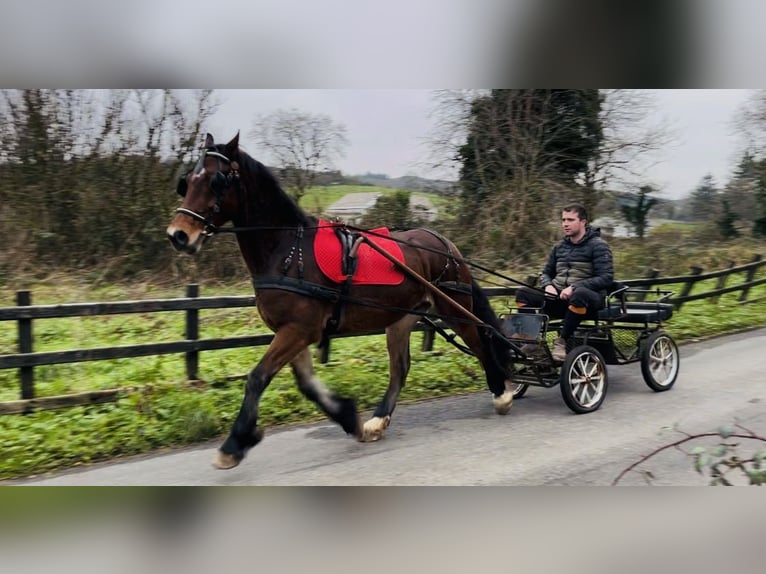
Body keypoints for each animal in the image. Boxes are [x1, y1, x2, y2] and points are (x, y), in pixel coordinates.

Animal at [167, 133, 516, 470]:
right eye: (187, 181)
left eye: (216, 180)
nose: (178, 235)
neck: (288, 251)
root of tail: (444, 243)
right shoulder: (294, 331)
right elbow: (306, 384)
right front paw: (350, 418)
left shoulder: (299, 330)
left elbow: (257, 378)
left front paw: (234, 444)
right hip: (400, 319)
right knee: (400, 368)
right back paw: (378, 420)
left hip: (454, 308)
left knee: (480, 342)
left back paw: (501, 392)